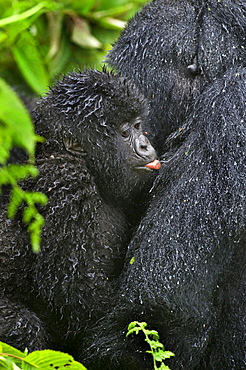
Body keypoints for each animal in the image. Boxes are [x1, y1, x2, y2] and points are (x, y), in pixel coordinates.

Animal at [0, 68, 160, 356]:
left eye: (137, 125)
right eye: (124, 133)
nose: (144, 145)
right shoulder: (68, 184)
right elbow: (72, 292)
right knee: (25, 328)